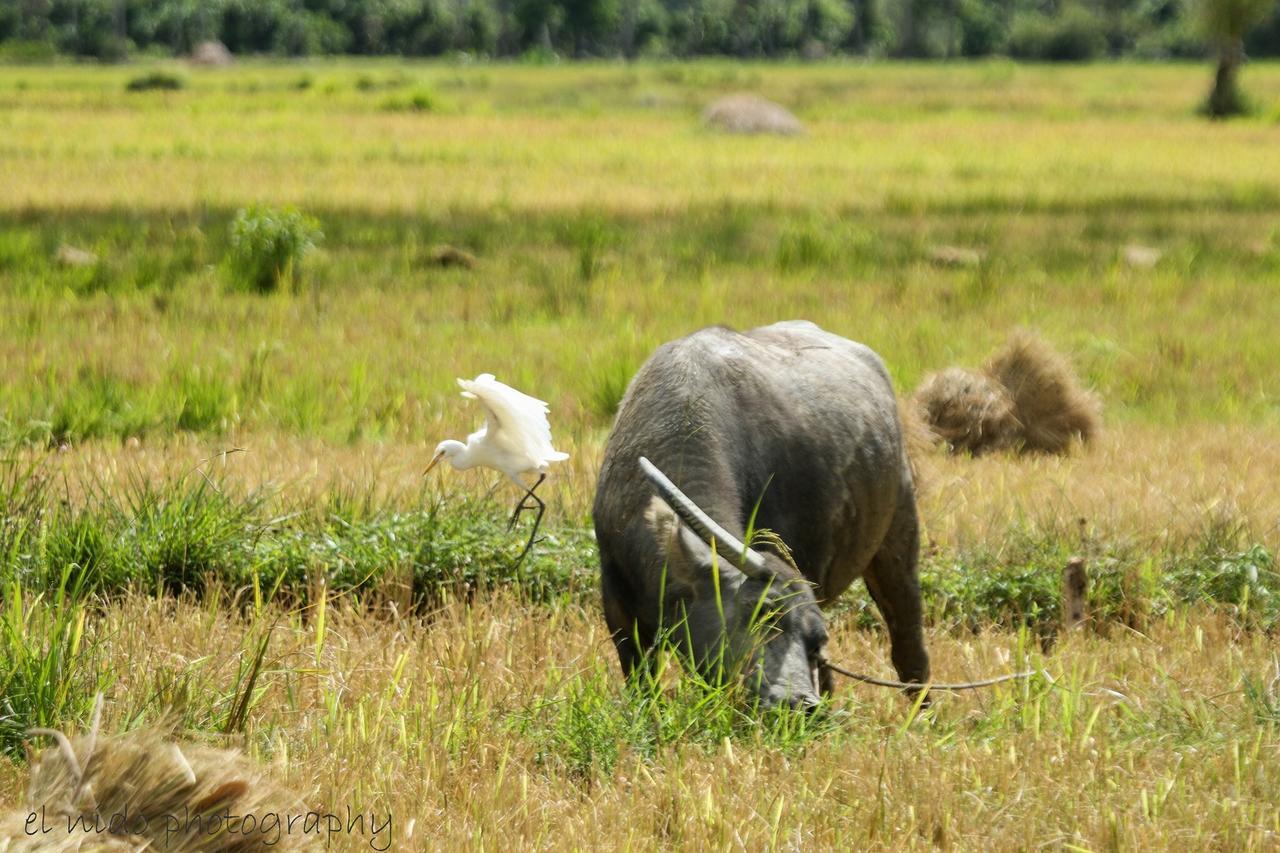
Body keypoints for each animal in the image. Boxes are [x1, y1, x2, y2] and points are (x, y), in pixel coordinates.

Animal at [588, 318, 931, 701]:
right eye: (762, 613)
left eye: (814, 640)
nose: (797, 701)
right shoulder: (621, 619)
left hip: (899, 535)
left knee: (908, 647)